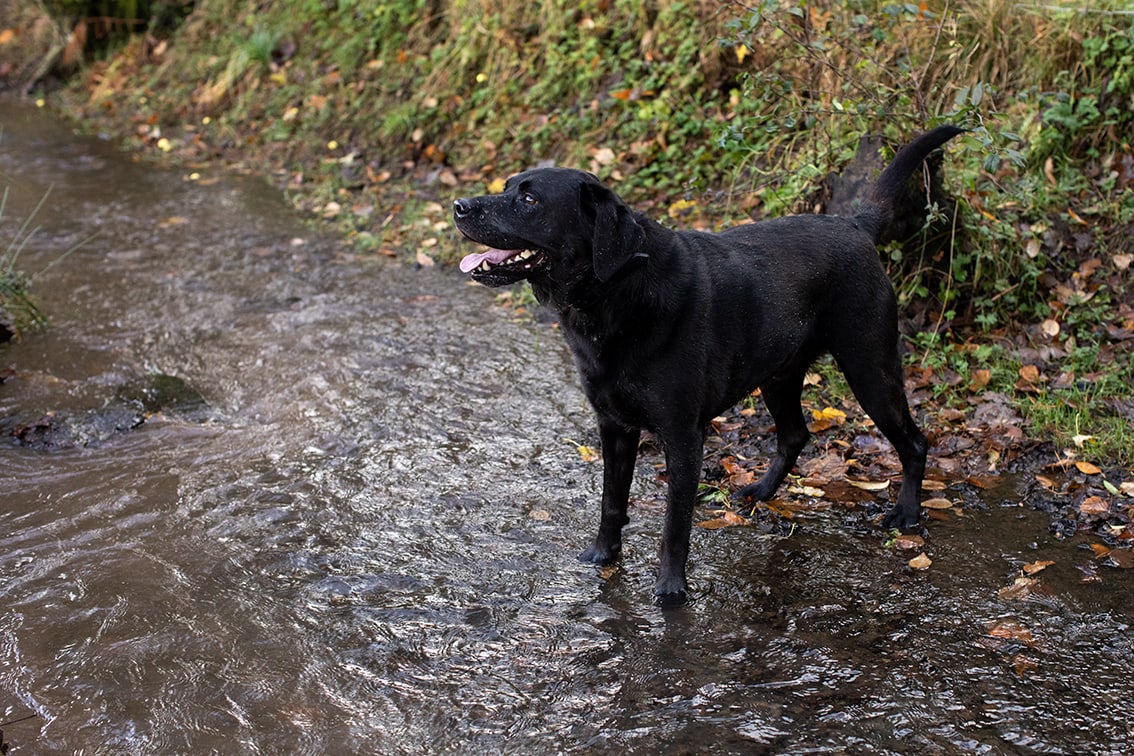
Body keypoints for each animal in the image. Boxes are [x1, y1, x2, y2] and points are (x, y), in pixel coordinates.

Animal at [451, 126, 966, 607]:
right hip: (779, 374)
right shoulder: (614, 426)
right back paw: (760, 491)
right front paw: (602, 556)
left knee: (914, 441)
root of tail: (855, 225)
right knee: (795, 434)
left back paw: (906, 513)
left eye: (529, 198)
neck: (616, 292)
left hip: (869, 369)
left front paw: (670, 592)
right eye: (507, 185)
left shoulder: (683, 437)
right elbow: (611, 501)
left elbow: (675, 525)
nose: (458, 205)